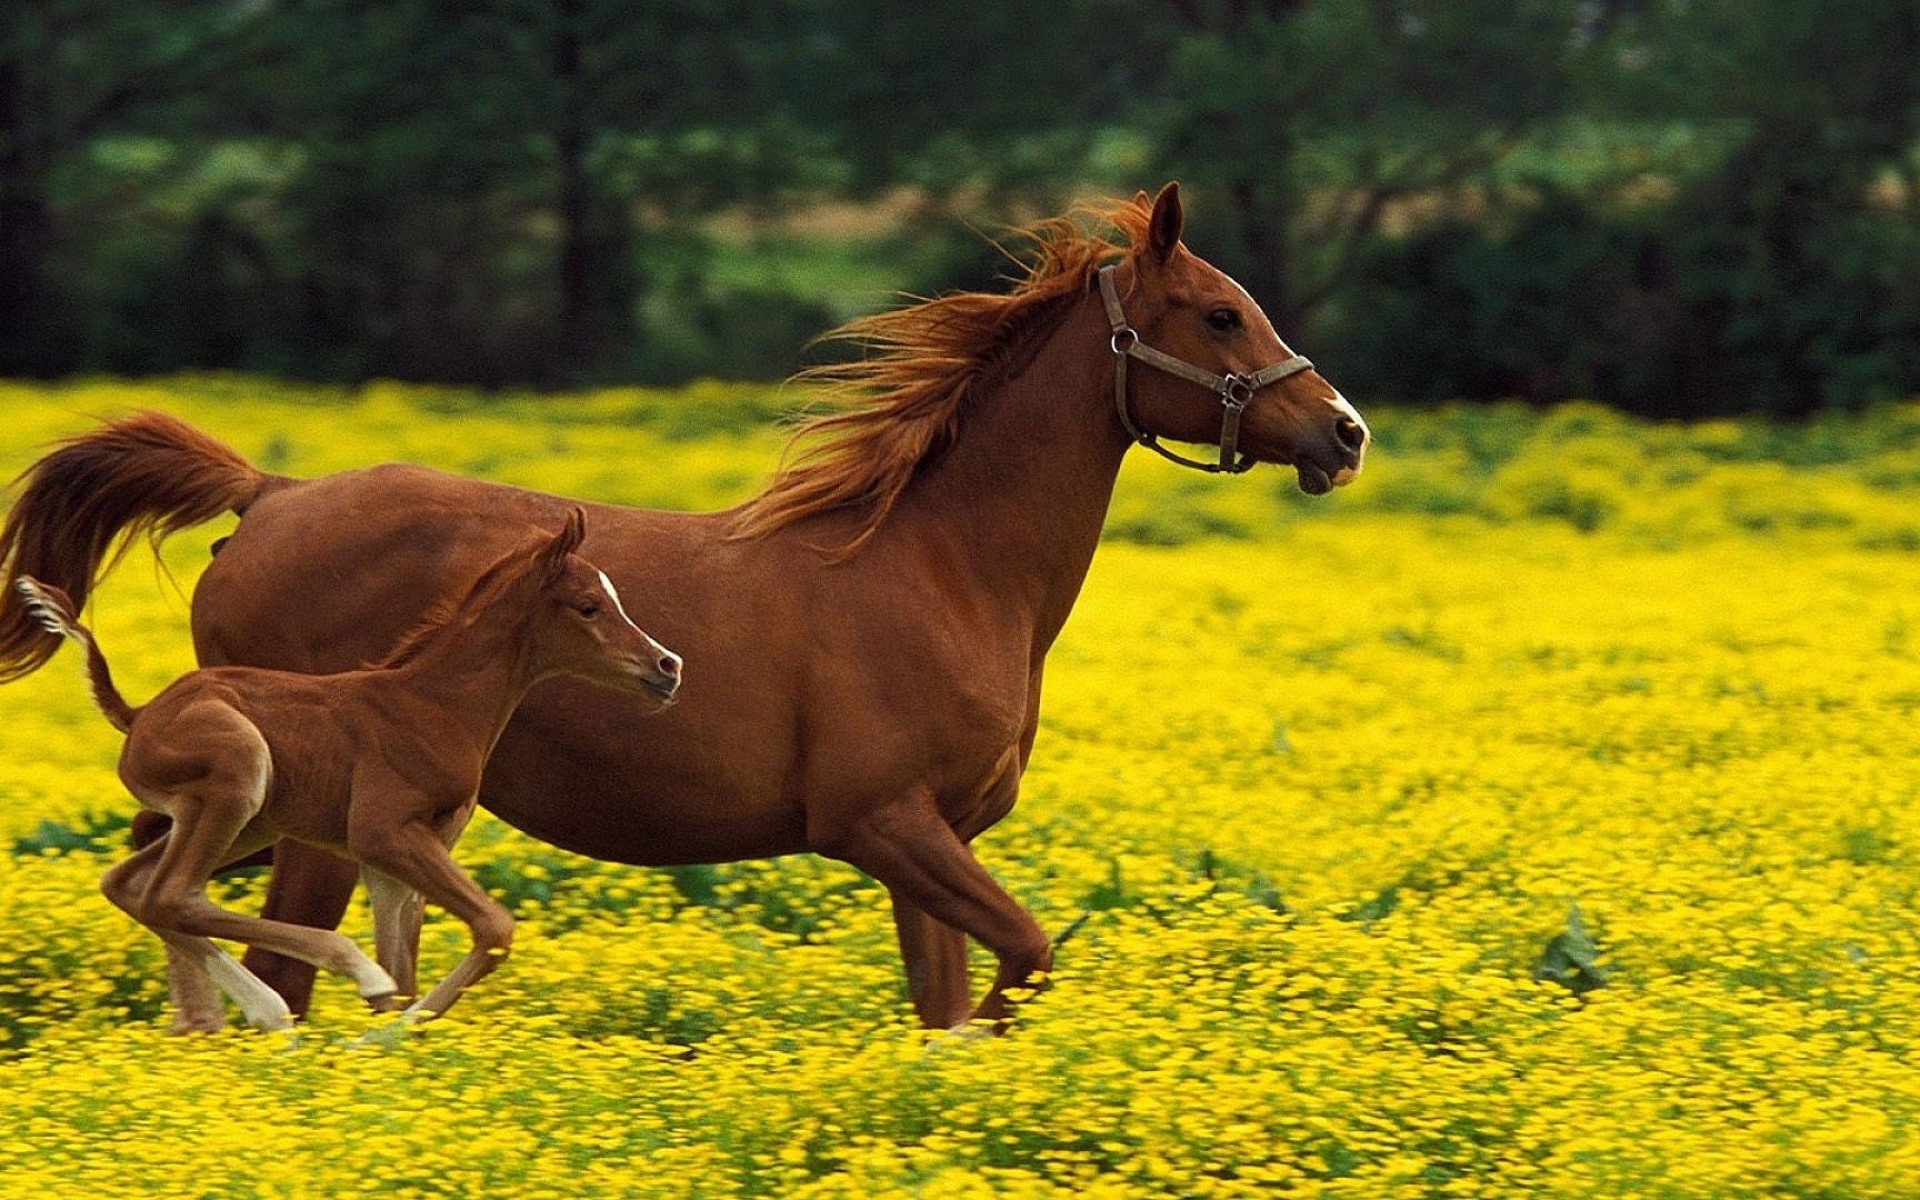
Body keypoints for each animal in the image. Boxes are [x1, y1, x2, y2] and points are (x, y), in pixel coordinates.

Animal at [13, 509, 682, 1031]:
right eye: (589, 606)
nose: (667, 666)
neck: (435, 705)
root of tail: (139, 714)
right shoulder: (382, 832)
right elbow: (491, 928)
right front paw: (381, 1034)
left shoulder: (397, 854)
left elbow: (409, 967)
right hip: (238, 774)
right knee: (172, 893)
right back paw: (332, 980)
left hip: (250, 821)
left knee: (132, 886)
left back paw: (266, 1012)